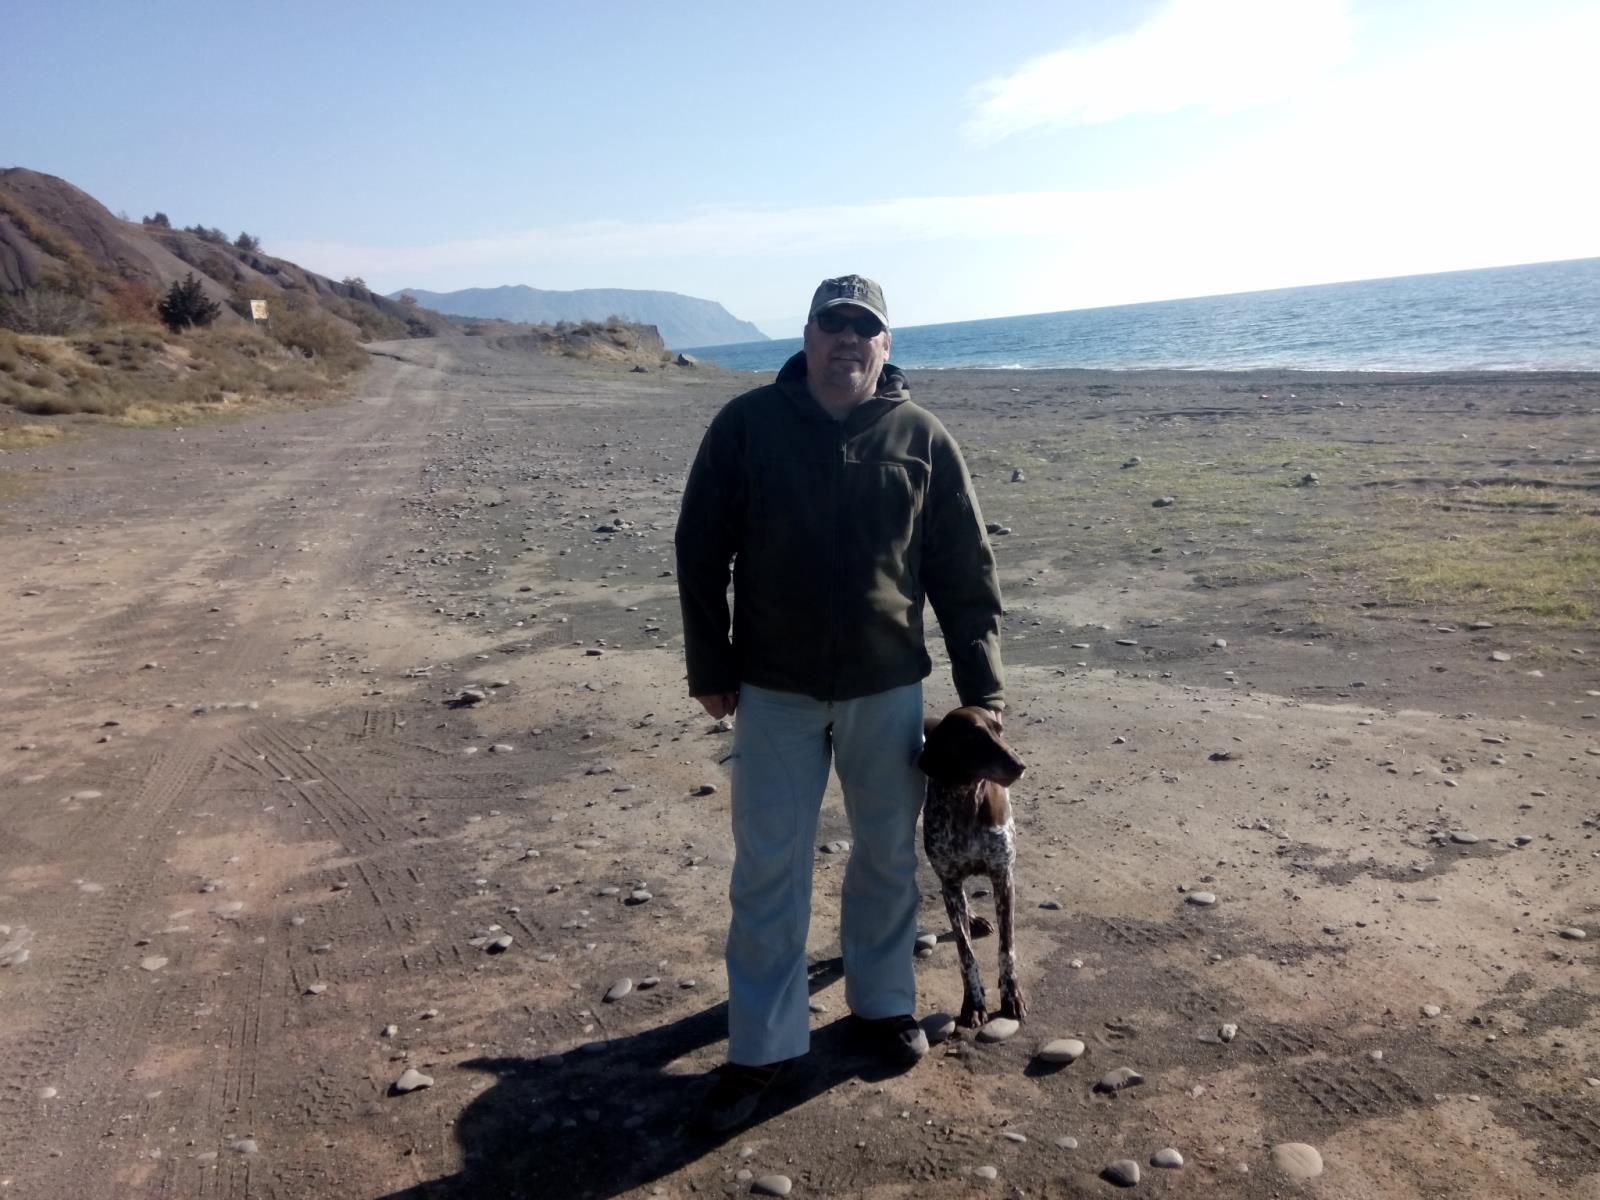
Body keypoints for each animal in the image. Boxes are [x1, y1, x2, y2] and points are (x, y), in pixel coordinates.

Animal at [918, 706, 1027, 1028]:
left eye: (998, 731)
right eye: (974, 737)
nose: (1019, 764)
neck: (966, 799)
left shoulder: (1003, 878)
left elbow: (1007, 949)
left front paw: (1011, 995)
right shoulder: (950, 882)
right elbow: (966, 954)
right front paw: (974, 1002)